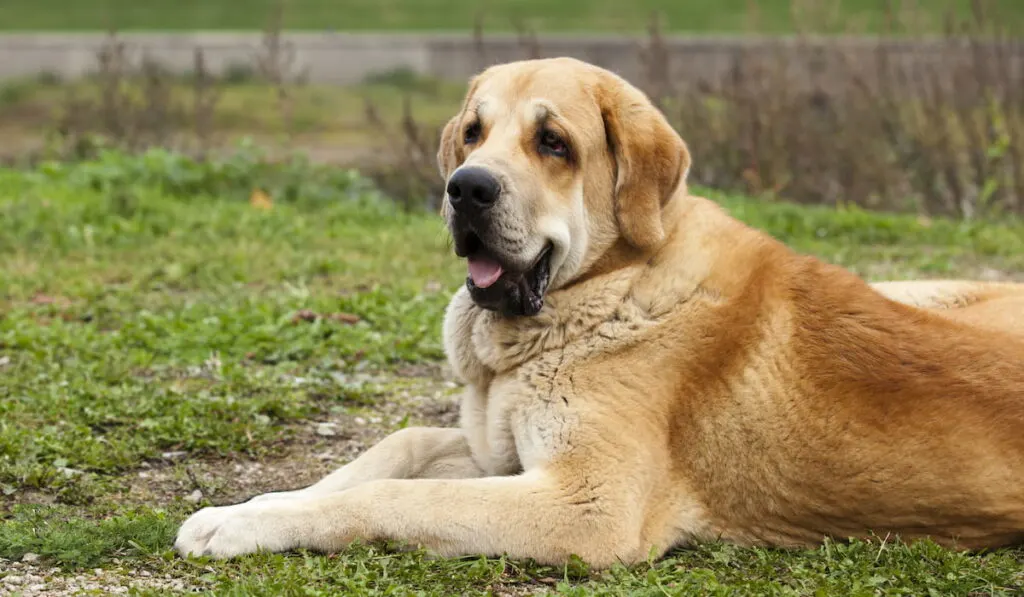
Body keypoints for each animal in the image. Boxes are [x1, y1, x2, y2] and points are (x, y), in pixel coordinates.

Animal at [176, 58, 1024, 569]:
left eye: (553, 142)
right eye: (473, 132)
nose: (466, 187)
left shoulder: (583, 503)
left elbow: (395, 494)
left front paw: (246, 524)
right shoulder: (500, 452)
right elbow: (396, 445)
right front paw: (249, 505)